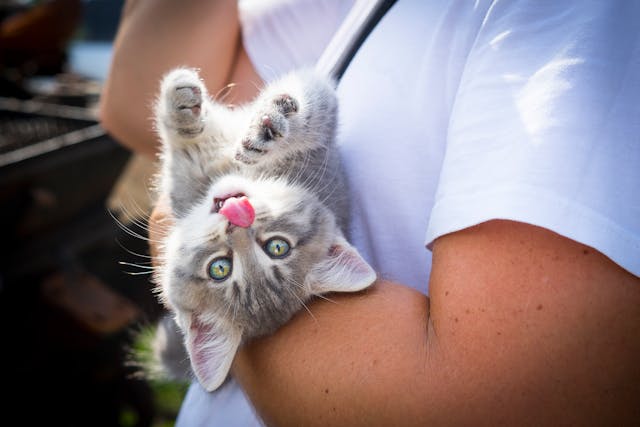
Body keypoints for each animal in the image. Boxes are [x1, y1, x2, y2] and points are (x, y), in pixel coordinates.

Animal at [153, 68, 378, 392]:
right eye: (219, 268)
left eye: (277, 247)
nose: (238, 220)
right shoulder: (188, 179)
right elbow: (188, 144)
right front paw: (182, 107)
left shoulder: (322, 153)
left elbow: (314, 107)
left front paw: (273, 120)